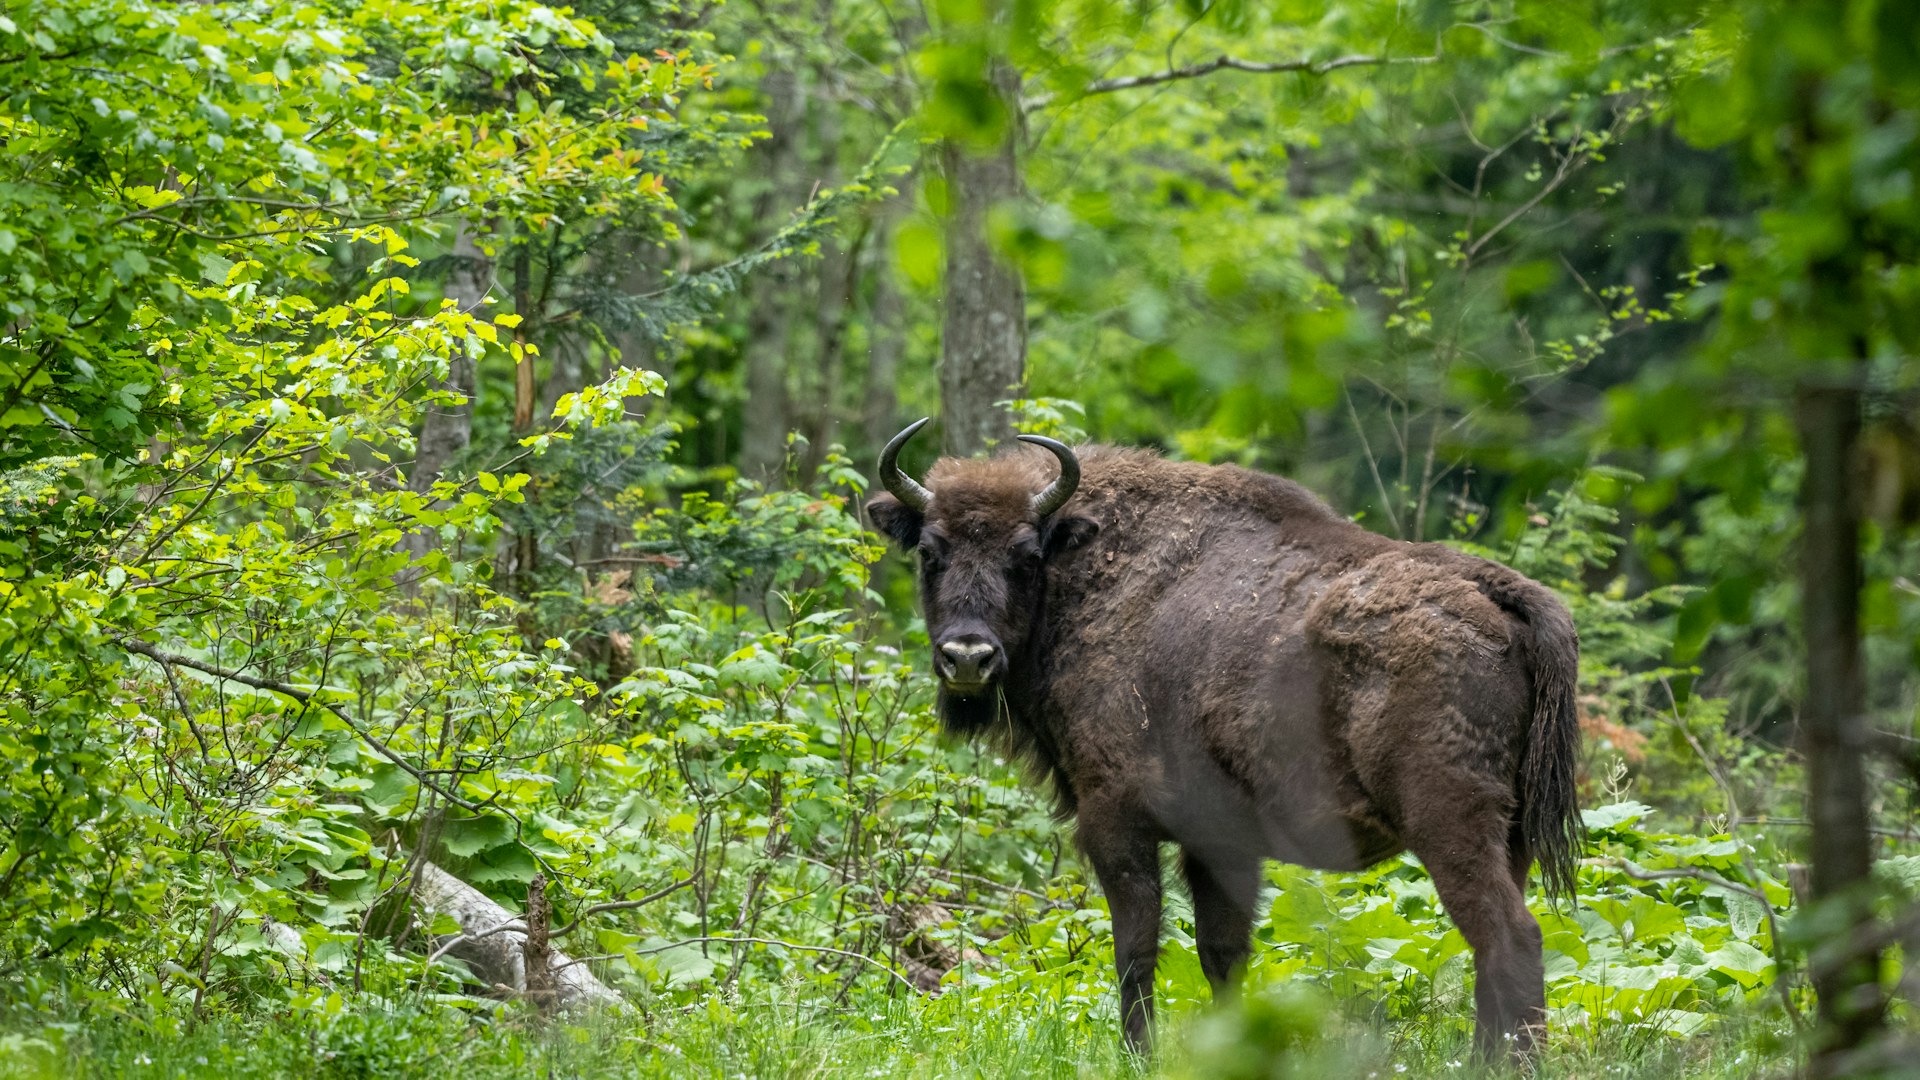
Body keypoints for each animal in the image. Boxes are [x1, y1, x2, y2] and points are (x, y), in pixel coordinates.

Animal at [864, 418, 1582, 1053]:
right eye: (930, 552)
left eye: (1026, 554)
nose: (967, 656)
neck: (1087, 573)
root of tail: (1497, 591)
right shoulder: (1220, 844)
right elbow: (1223, 954)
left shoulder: (1115, 818)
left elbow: (1136, 947)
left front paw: (1139, 1054)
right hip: (1511, 836)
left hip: (1449, 823)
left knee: (1510, 938)